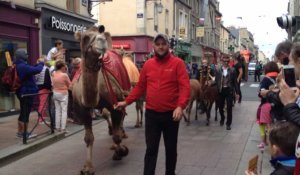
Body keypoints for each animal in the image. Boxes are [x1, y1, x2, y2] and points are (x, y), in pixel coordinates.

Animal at [72, 26, 131, 174]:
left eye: (101, 33)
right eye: (85, 37)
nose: (102, 41)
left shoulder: (116, 104)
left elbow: (116, 135)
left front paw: (121, 151)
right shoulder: (83, 111)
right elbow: (88, 138)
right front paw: (87, 167)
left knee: (121, 119)